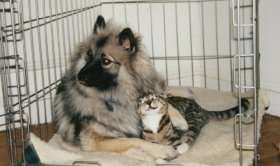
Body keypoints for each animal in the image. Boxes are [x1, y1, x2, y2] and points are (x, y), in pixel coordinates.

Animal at [53, 15, 178, 160]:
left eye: (106, 61)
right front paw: (161, 150)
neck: (115, 97)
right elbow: (133, 141)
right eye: (89, 55)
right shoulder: (93, 140)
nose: (79, 76)